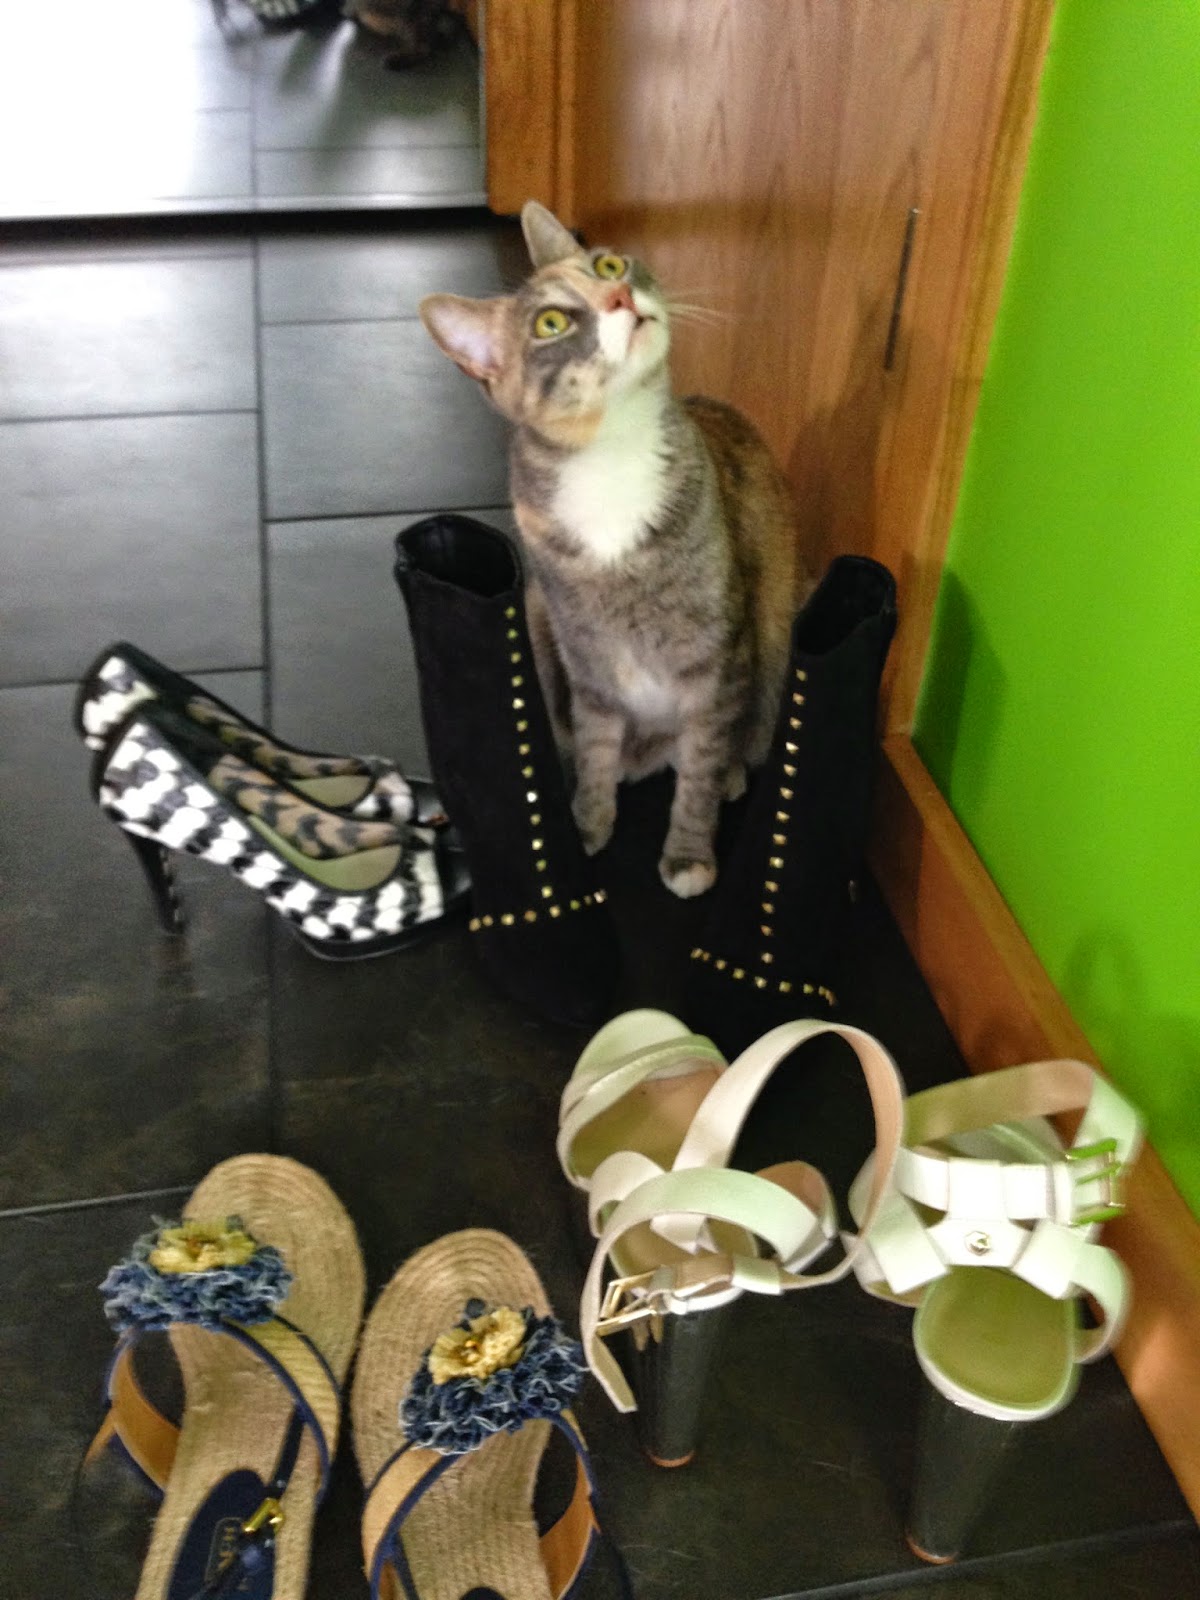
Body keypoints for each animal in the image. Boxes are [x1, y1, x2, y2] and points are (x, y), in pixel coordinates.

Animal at [419, 201, 809, 898]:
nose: (620, 295)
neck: (612, 452)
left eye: (606, 266)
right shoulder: (588, 660)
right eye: (550, 322)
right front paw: (586, 823)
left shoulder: (715, 656)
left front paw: (688, 851)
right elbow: (597, 748)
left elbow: (700, 767)